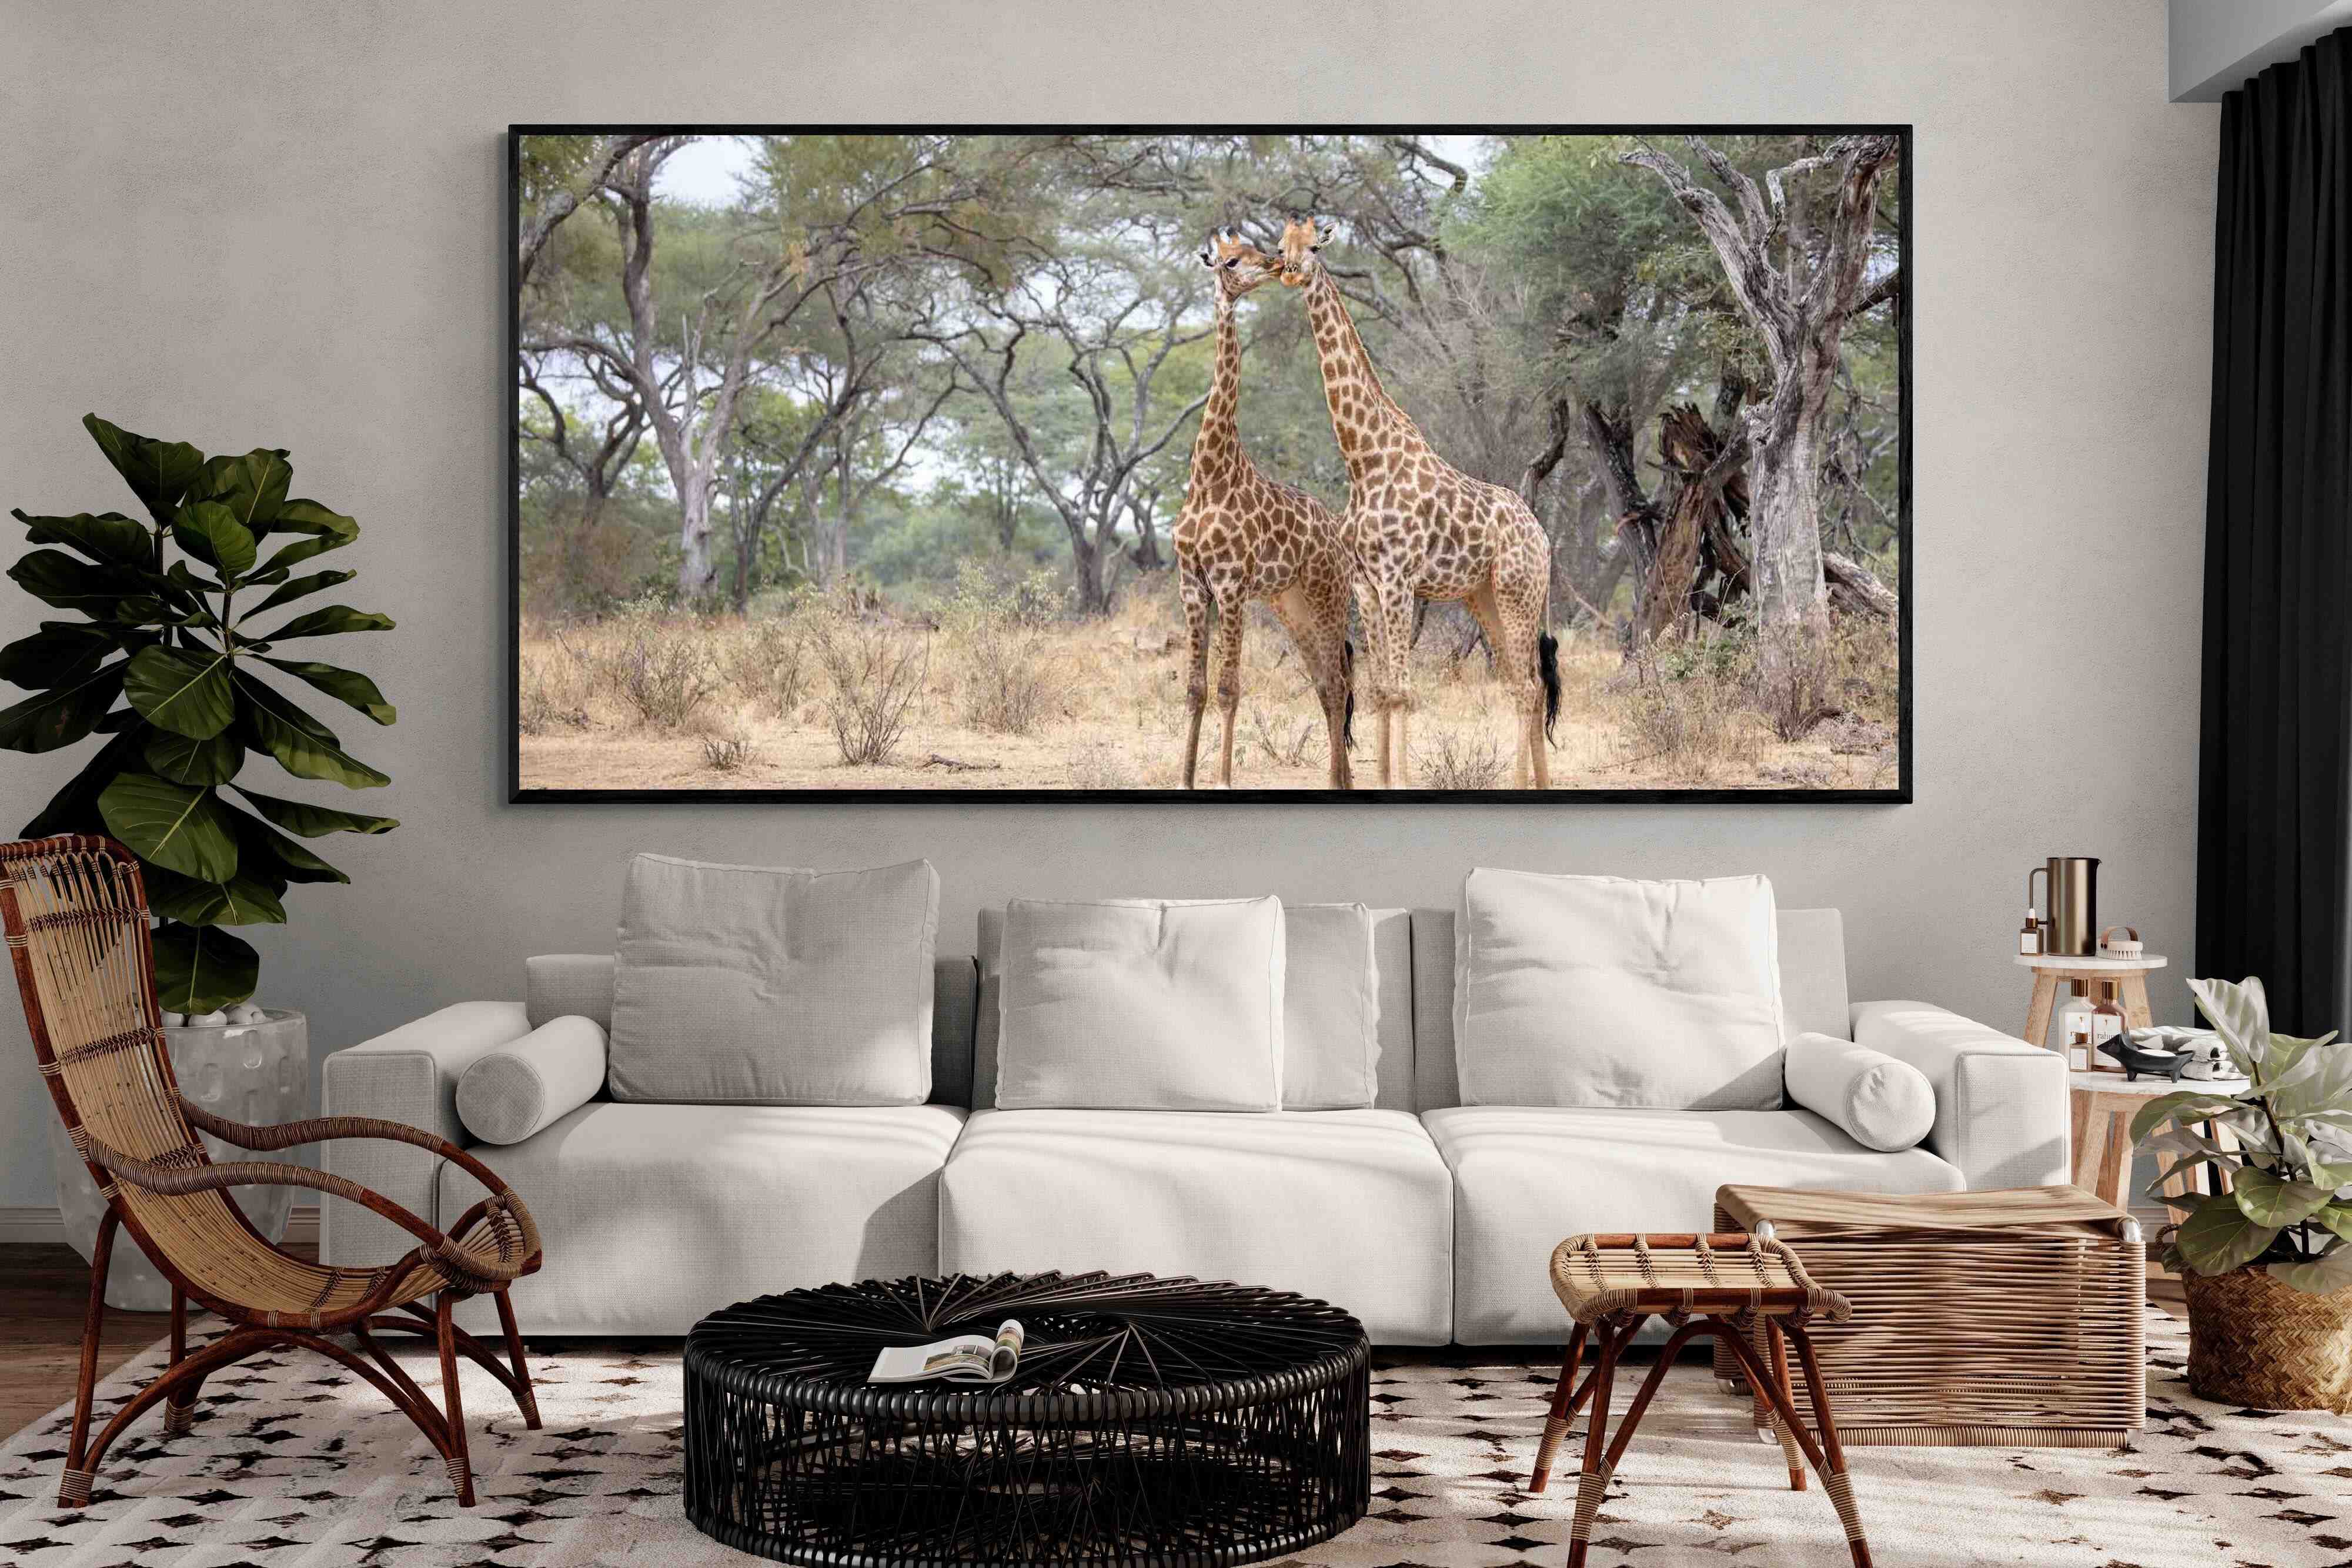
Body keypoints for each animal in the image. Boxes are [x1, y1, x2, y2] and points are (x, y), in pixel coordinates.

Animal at [1172, 228, 1356, 790]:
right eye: (1231, 260)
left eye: (1256, 249)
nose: (1276, 264)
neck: (1209, 475)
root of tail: (1338, 534)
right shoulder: (1193, 585)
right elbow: (1196, 688)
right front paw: (1185, 779)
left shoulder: (1231, 583)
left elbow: (1229, 687)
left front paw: (1224, 781)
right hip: (1290, 604)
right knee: (1325, 683)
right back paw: (1342, 781)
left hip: (1328, 597)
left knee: (1339, 683)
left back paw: (1338, 783)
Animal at [1277, 216, 1561, 789]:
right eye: (1279, 246)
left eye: (1315, 245)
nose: (1292, 271)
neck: (1364, 459)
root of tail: (1543, 537)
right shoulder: (1367, 584)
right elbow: (1383, 690)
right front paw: (1385, 778)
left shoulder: (1398, 579)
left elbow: (1404, 691)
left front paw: (1401, 782)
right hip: (1485, 597)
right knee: (1529, 683)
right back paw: (1541, 784)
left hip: (1517, 591)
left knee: (1525, 686)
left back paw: (1520, 784)